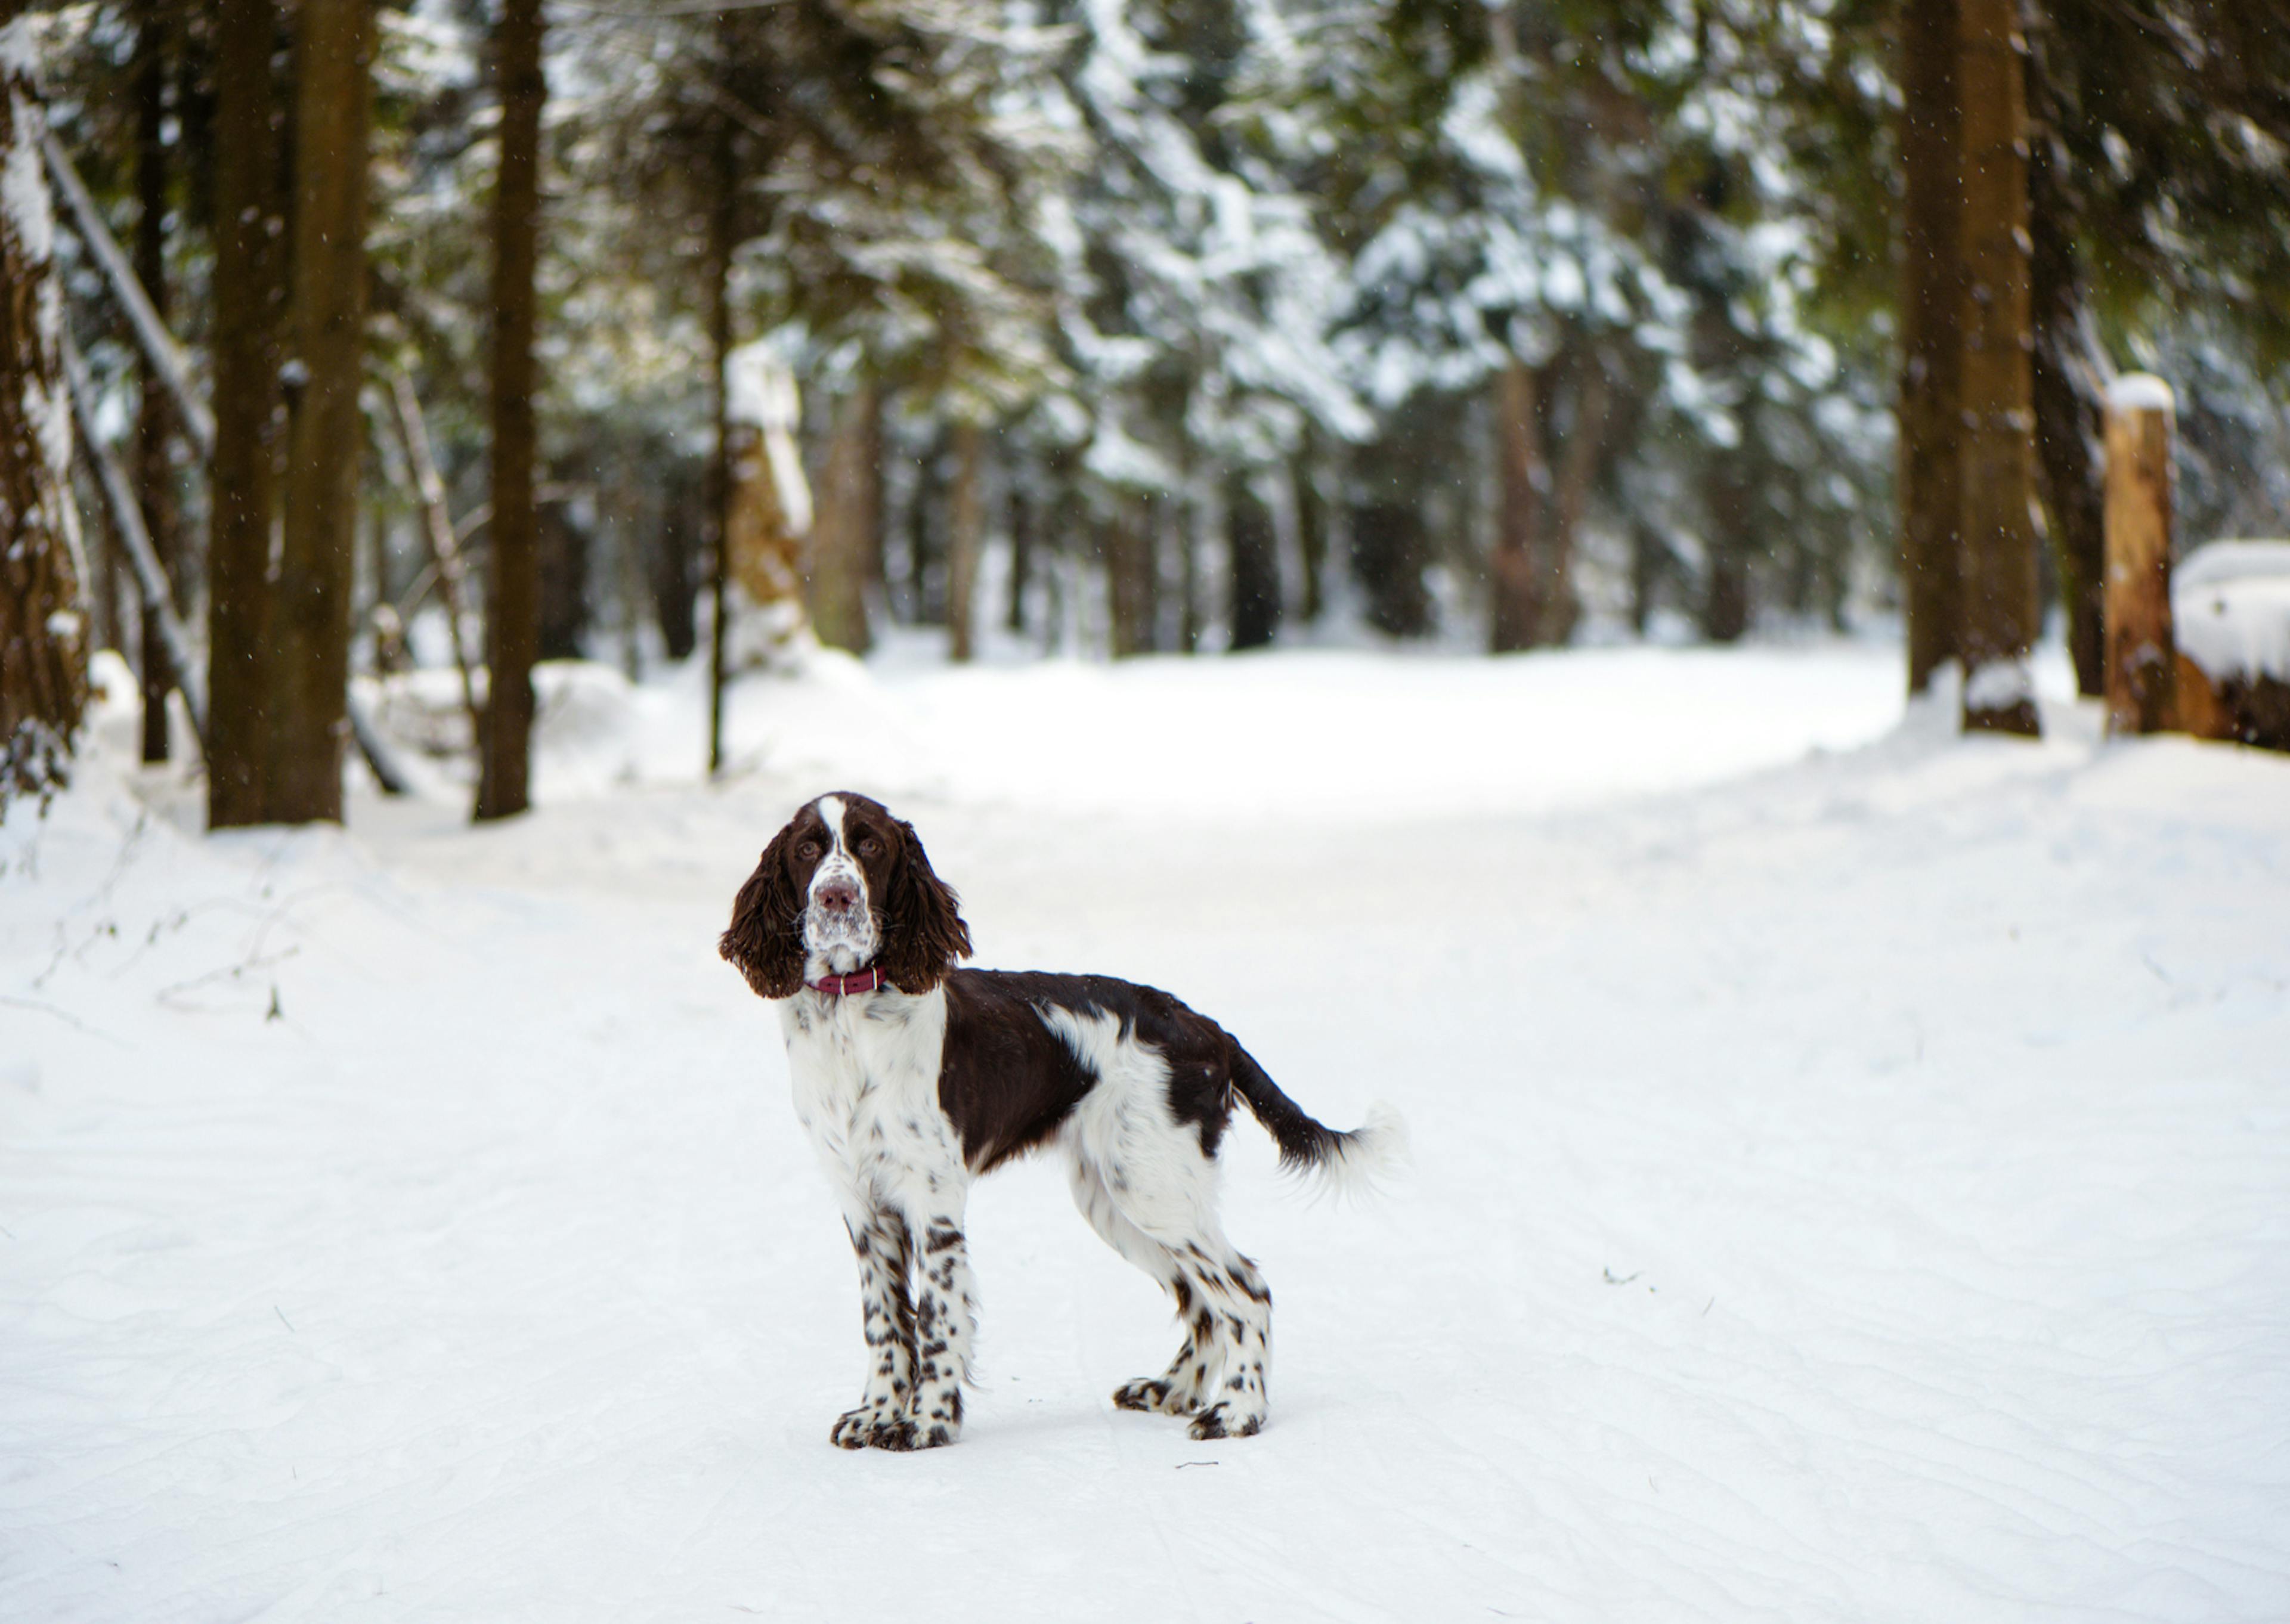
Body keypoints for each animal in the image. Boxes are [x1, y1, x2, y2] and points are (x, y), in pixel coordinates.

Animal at [719, 788, 1392, 1448]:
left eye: (871, 847)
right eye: (808, 849)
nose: (836, 896)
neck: (852, 1021)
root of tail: (1205, 1028)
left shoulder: (933, 1201)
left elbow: (937, 1318)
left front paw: (927, 1422)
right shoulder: (863, 1203)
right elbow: (884, 1322)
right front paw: (877, 1415)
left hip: (1154, 1189)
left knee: (1247, 1291)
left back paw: (1237, 1412)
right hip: (1115, 1200)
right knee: (1204, 1301)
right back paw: (1171, 1390)